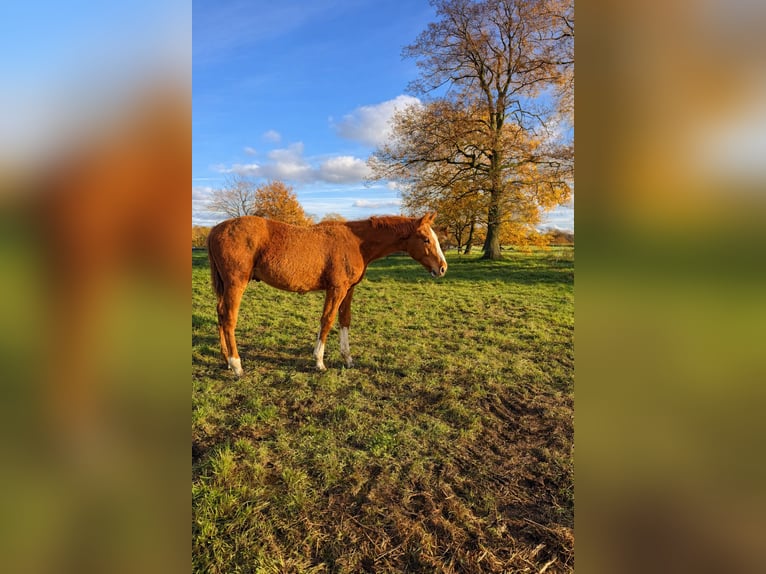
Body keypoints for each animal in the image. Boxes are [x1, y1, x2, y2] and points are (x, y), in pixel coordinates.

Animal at [206, 212, 448, 376]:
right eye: (426, 239)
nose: (442, 268)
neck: (357, 243)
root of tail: (216, 229)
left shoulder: (349, 289)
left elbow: (344, 320)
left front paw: (348, 359)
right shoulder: (336, 289)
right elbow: (327, 320)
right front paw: (319, 362)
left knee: (220, 314)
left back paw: (226, 359)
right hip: (235, 284)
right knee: (229, 318)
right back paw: (236, 365)